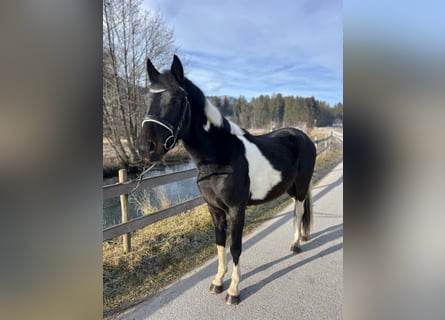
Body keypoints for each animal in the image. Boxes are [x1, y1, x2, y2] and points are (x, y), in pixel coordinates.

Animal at [137, 56, 314, 306]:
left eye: (177, 99)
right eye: (147, 98)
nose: (146, 148)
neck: (221, 158)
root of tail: (304, 136)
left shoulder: (236, 210)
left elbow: (236, 247)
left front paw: (233, 292)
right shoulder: (214, 209)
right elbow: (220, 244)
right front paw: (218, 283)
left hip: (300, 186)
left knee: (298, 212)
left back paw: (295, 245)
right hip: (289, 188)